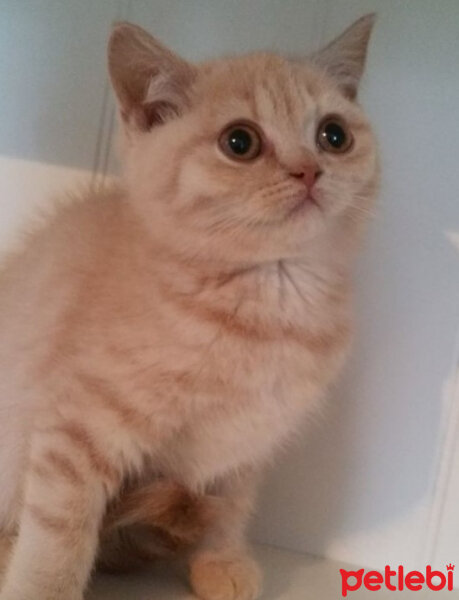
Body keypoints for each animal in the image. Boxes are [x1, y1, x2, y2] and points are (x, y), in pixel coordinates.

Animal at [0, 14, 380, 600]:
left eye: (334, 135)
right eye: (239, 142)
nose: (309, 171)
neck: (270, 303)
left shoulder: (251, 438)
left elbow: (231, 502)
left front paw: (221, 558)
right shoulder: (75, 431)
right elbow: (58, 533)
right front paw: (41, 588)